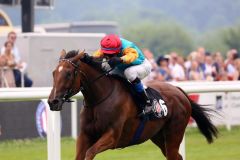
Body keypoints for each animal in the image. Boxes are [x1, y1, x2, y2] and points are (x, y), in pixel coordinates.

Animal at [47, 49, 218, 159]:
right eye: (54, 73)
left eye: (68, 73)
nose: (52, 101)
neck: (99, 100)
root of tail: (179, 91)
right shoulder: (85, 135)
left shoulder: (112, 136)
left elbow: (90, 153)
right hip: (157, 135)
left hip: (174, 133)